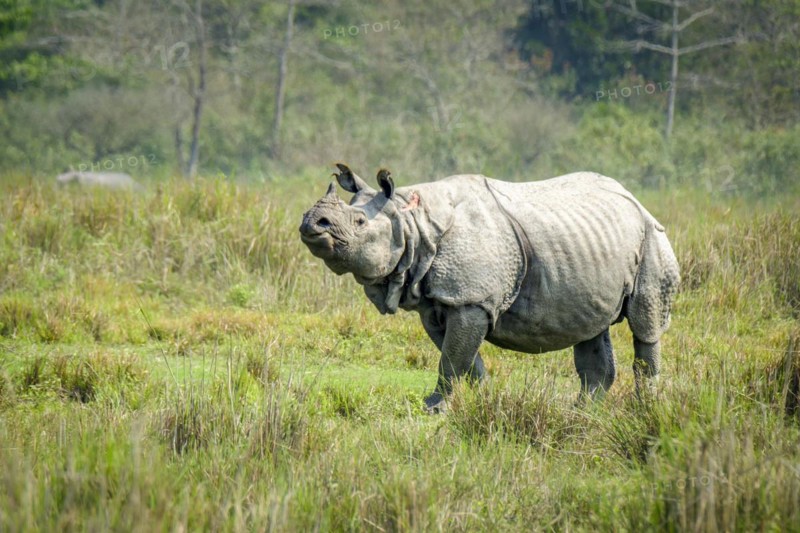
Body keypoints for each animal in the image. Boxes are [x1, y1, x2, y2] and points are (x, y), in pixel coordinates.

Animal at [300, 164, 680, 412]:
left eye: (360, 222)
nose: (310, 223)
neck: (411, 221)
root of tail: (636, 199)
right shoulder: (437, 303)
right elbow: (462, 357)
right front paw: (482, 399)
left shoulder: (471, 299)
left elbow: (453, 357)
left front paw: (434, 408)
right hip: (592, 244)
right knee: (590, 327)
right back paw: (581, 412)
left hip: (652, 236)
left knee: (645, 326)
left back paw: (644, 408)